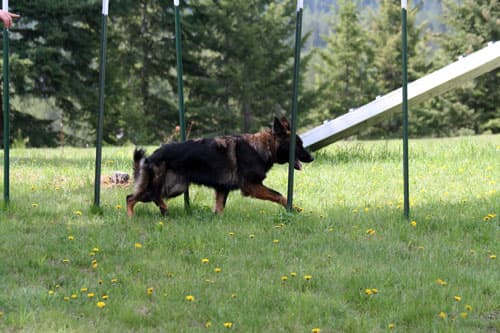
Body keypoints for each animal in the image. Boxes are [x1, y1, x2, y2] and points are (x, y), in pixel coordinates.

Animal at [125, 116, 312, 215]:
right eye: (298, 145)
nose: (312, 158)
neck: (263, 147)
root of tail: (151, 156)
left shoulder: (223, 188)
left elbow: (220, 207)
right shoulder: (251, 186)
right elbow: (279, 195)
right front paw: (293, 209)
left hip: (175, 187)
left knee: (140, 197)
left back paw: (161, 211)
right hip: (164, 186)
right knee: (135, 198)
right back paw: (132, 218)